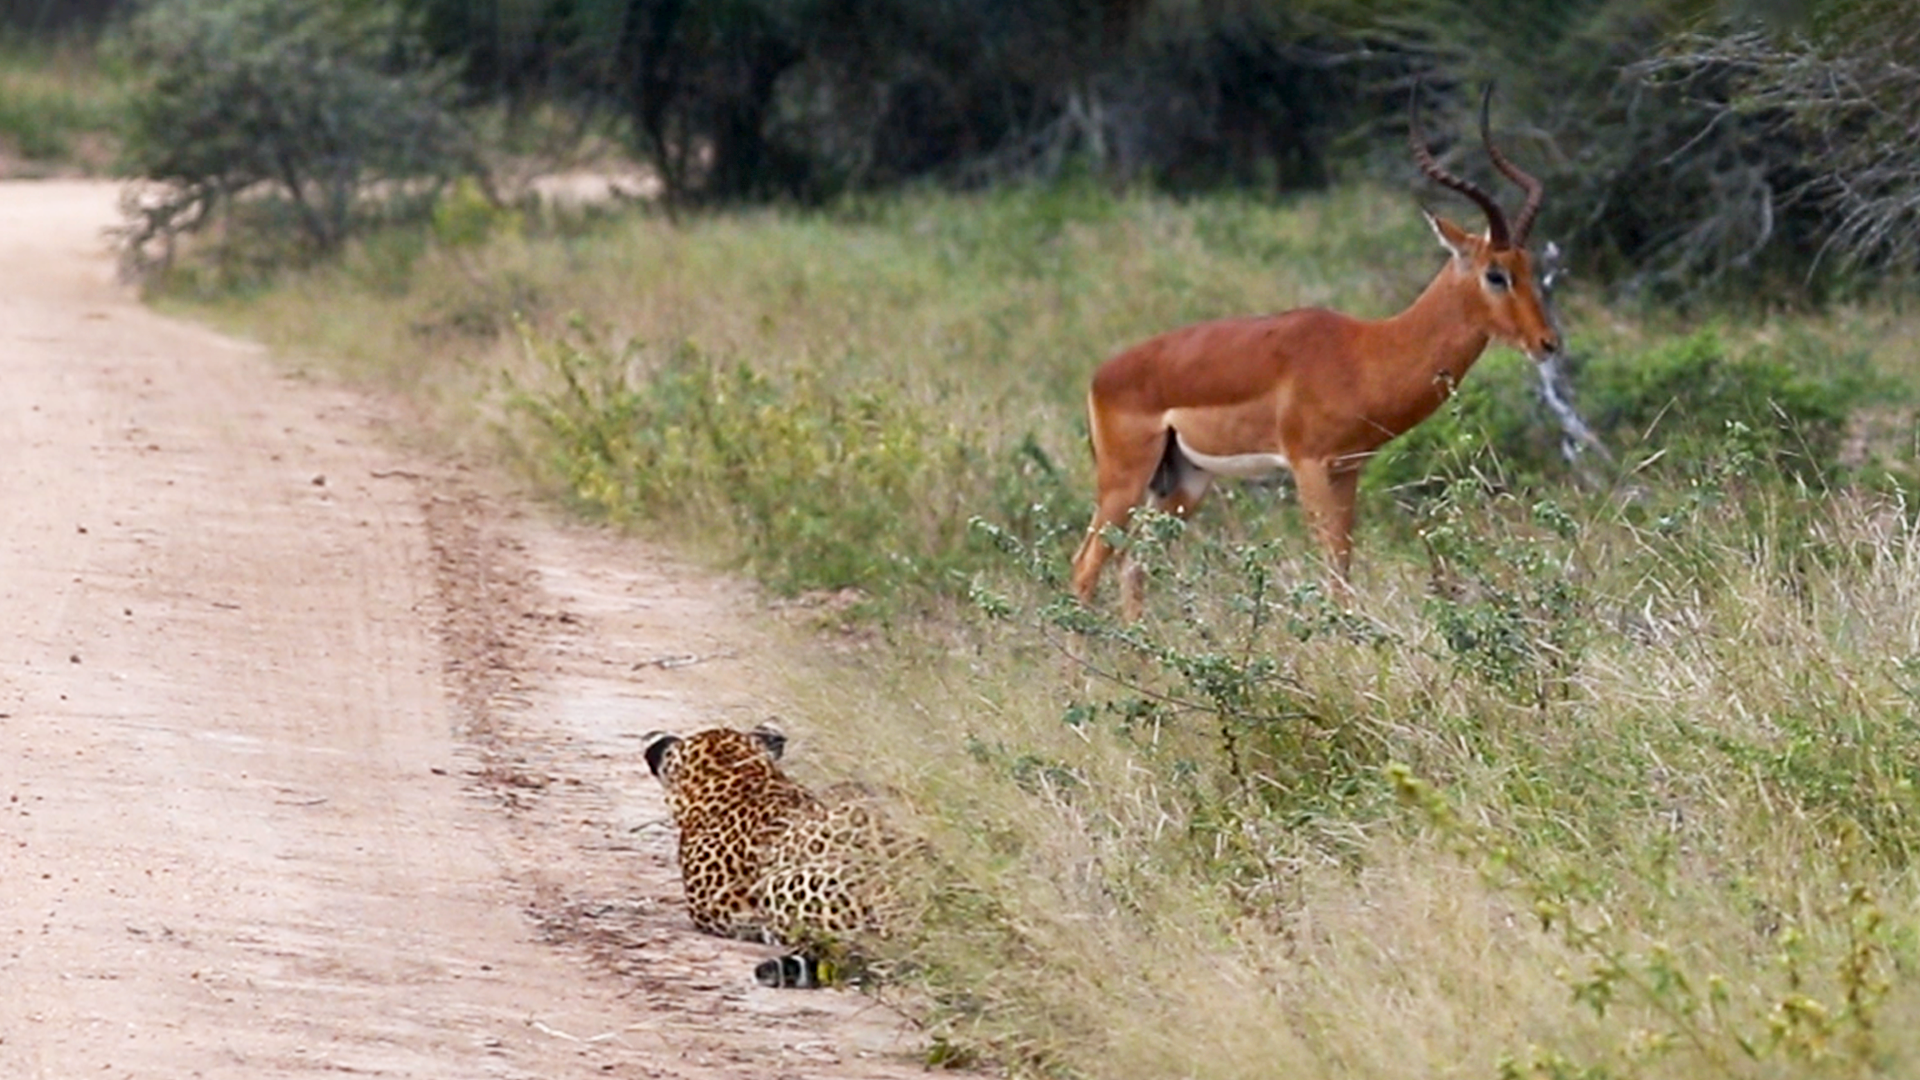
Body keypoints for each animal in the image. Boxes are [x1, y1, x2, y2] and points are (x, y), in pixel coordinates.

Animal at [1070, 84, 1561, 618]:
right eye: (1496, 273)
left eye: (1529, 267)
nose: (1548, 343)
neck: (1365, 352)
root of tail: (1101, 375)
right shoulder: (1309, 466)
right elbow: (1332, 570)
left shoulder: (1347, 470)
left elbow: (1343, 568)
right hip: (1124, 481)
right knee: (1085, 566)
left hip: (1184, 481)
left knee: (1133, 565)